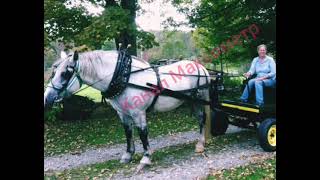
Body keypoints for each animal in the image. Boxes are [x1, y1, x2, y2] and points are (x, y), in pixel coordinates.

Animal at [43, 50, 211, 167]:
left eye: (65, 73)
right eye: (53, 72)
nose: (47, 99)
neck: (125, 78)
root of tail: (201, 67)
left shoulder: (138, 113)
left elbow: (142, 133)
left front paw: (146, 158)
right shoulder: (122, 114)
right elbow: (128, 133)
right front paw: (128, 155)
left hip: (201, 99)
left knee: (202, 119)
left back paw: (201, 144)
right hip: (193, 101)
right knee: (199, 119)